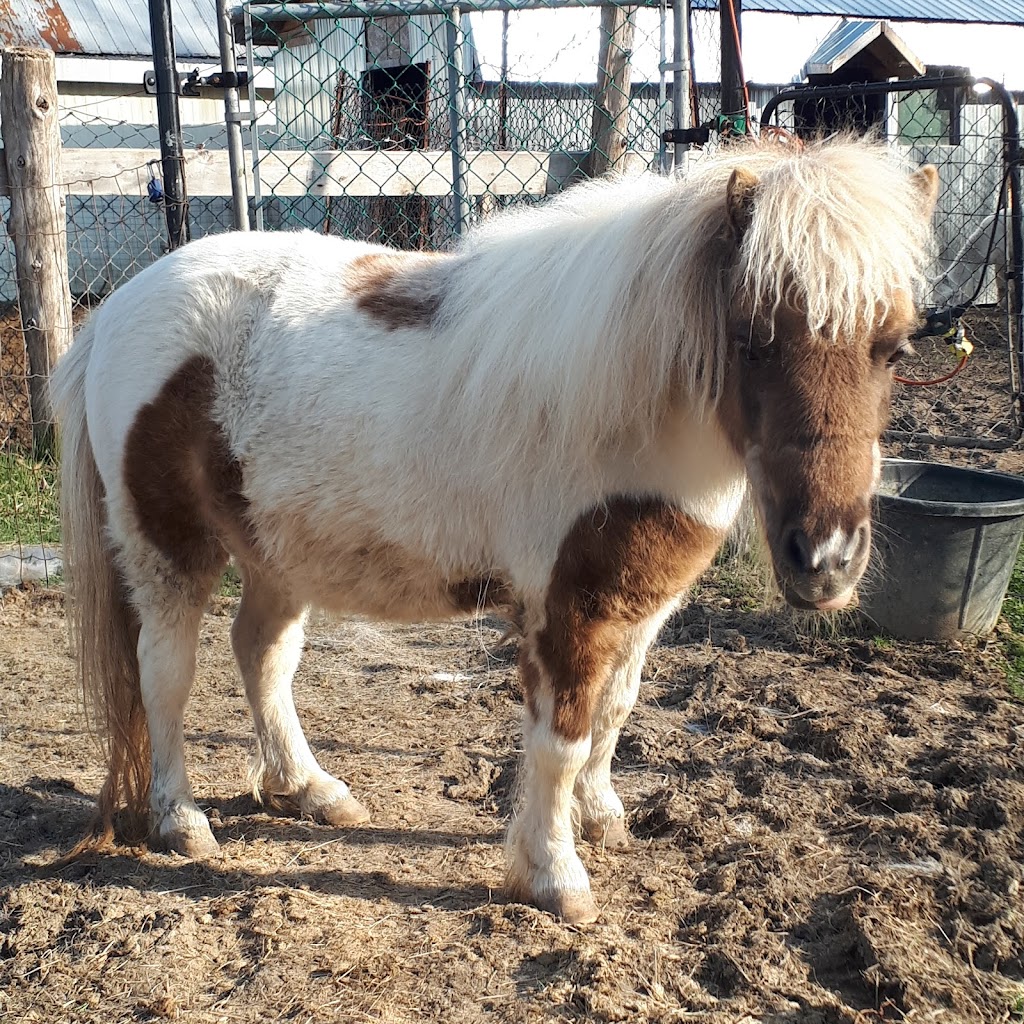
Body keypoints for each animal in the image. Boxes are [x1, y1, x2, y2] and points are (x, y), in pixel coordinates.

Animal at [54, 136, 937, 921]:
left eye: (894, 349)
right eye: (753, 340)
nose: (824, 561)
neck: (633, 402)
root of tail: (120, 307)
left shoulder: (644, 603)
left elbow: (617, 712)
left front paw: (599, 817)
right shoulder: (567, 605)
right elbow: (562, 737)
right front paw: (554, 876)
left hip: (280, 549)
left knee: (262, 655)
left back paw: (310, 790)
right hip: (167, 549)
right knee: (165, 674)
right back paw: (181, 821)